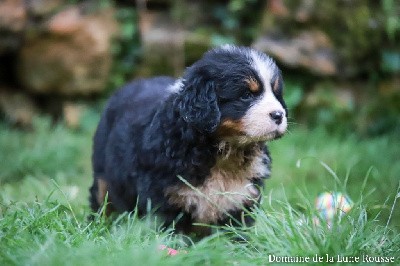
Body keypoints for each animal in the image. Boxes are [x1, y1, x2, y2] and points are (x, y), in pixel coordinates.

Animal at [90, 44, 288, 236]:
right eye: (246, 95)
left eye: (276, 94)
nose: (279, 115)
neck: (223, 152)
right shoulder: (164, 199)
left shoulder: (242, 198)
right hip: (102, 174)